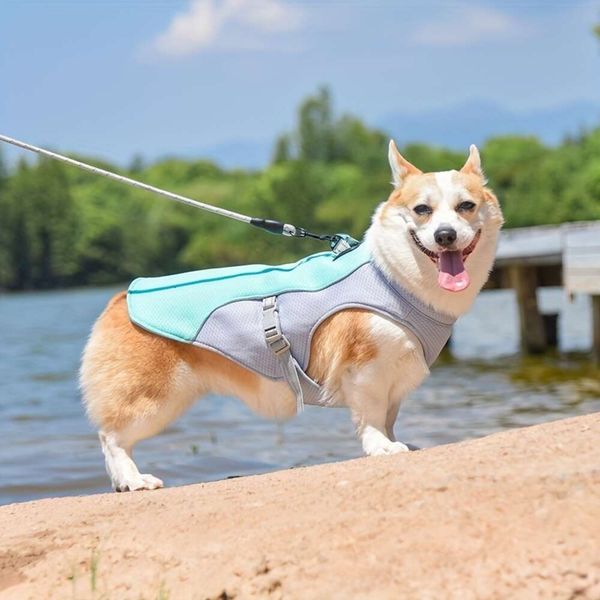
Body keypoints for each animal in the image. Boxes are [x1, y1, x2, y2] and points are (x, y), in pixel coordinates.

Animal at [78, 142, 502, 492]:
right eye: (422, 210)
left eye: (466, 206)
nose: (445, 236)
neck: (391, 278)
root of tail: (122, 296)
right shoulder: (365, 370)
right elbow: (371, 416)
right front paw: (381, 447)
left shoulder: (397, 376)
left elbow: (389, 415)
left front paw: (397, 441)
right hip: (154, 399)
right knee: (111, 437)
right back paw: (134, 479)